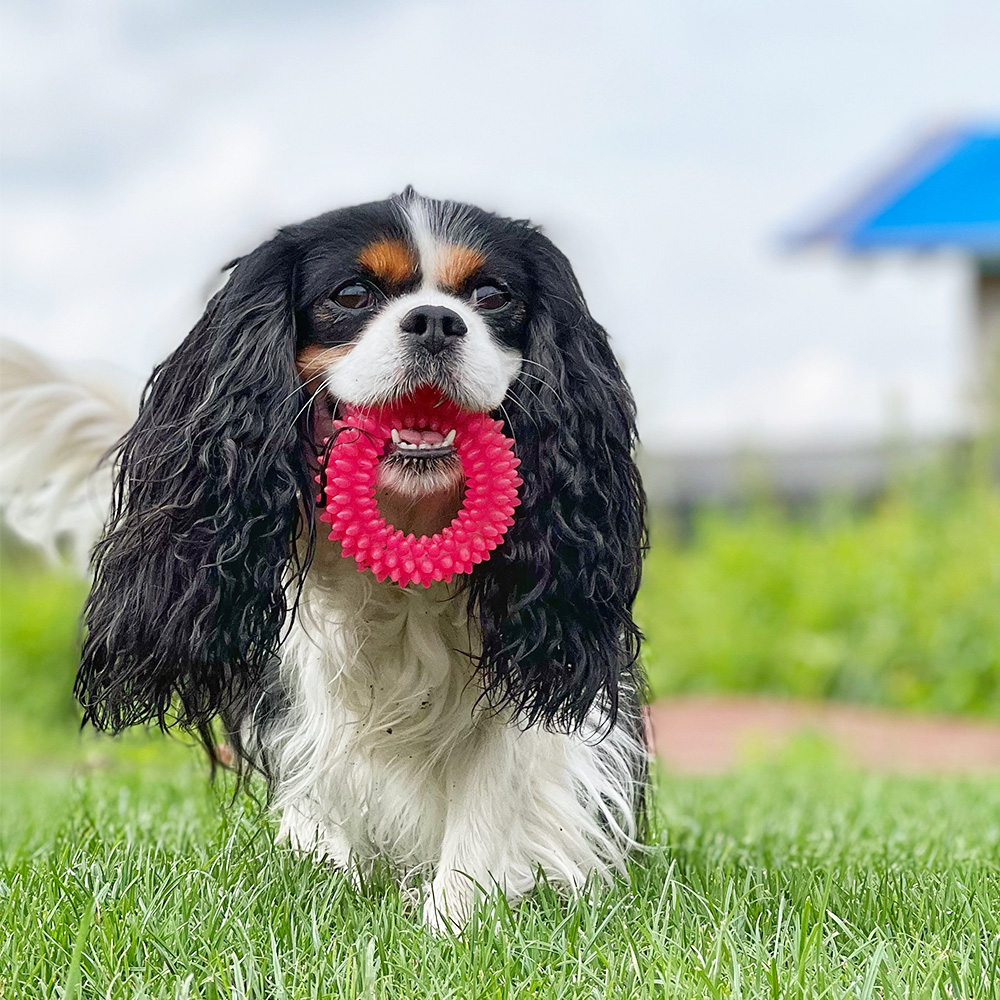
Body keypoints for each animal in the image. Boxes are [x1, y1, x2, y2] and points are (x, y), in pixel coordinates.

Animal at [0, 188, 652, 928]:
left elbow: (491, 790)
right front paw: (341, 879)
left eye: (490, 295)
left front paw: (456, 921)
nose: (436, 321)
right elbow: (335, 760)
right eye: (351, 295)